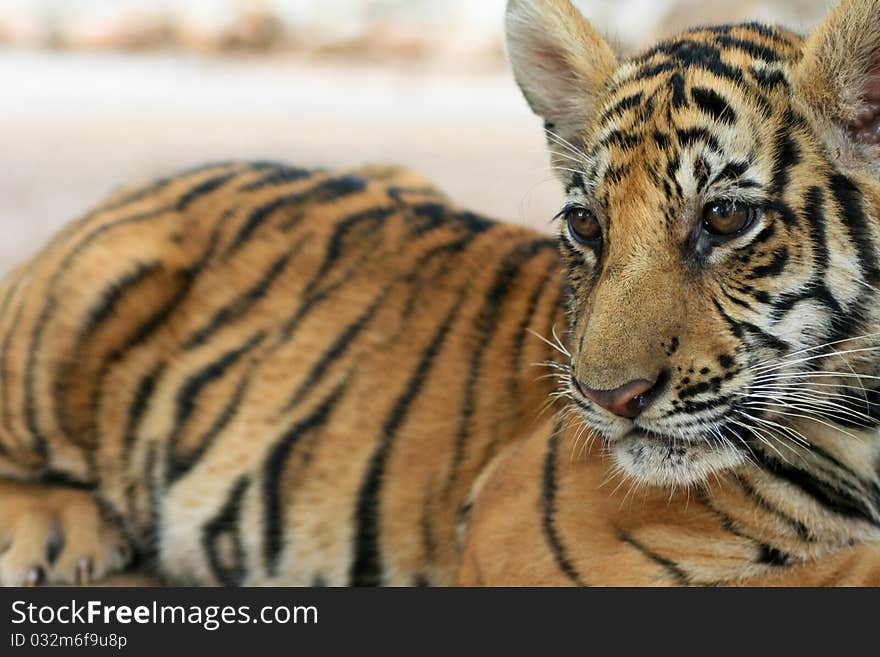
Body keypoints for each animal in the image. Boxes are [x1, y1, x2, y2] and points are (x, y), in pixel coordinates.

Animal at [5, 0, 880, 588]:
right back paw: (53, 531)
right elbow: (827, 572)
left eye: (725, 218)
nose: (609, 399)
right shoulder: (526, 535)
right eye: (588, 225)